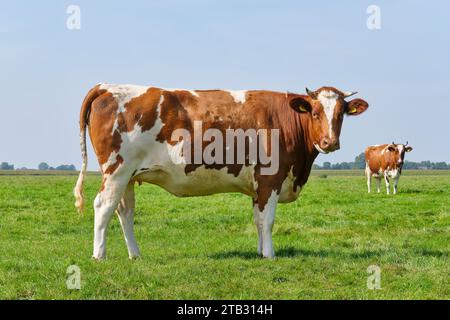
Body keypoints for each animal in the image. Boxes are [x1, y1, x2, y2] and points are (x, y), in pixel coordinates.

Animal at [74, 84, 370, 258]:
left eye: (341, 113)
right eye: (315, 112)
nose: (330, 142)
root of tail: (107, 87)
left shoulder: (257, 186)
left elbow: (257, 220)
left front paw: (260, 252)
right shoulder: (270, 179)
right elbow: (268, 221)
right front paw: (270, 255)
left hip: (129, 175)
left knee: (124, 212)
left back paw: (135, 255)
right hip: (117, 170)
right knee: (103, 206)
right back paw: (99, 256)